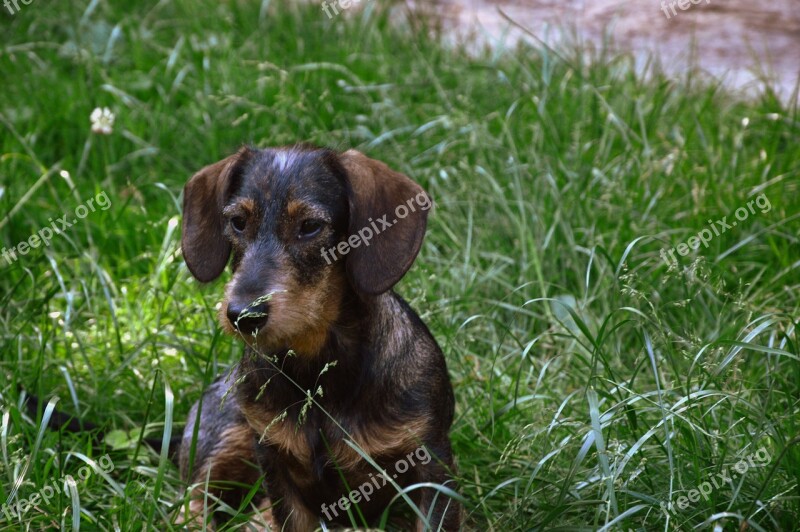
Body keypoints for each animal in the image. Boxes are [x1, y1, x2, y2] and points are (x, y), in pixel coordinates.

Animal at [178, 143, 460, 528]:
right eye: (237, 222)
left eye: (310, 226)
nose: (242, 315)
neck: (318, 368)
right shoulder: (275, 461)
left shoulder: (429, 463)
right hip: (229, 435)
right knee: (194, 497)